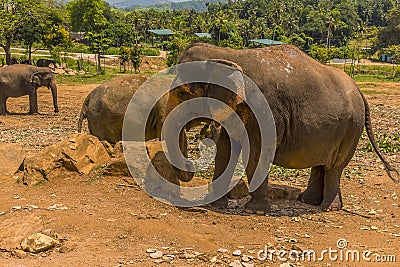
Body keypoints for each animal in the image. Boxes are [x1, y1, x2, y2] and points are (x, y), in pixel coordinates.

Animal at [166, 43, 396, 216]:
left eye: (183, 92)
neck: (229, 54)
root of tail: (359, 91)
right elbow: (226, 149)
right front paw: (213, 203)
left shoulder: (264, 109)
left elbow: (257, 152)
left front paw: (255, 211)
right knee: (322, 163)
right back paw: (308, 201)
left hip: (351, 129)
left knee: (334, 166)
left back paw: (327, 208)